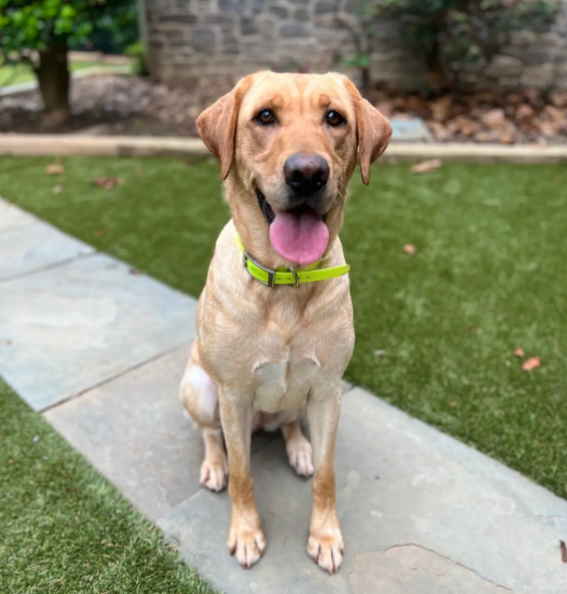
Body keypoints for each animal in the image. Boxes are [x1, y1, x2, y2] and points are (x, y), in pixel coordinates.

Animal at [180, 71, 391, 574]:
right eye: (264, 116)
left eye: (334, 117)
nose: (308, 173)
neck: (287, 282)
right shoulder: (233, 394)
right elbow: (243, 473)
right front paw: (246, 533)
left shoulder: (329, 390)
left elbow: (329, 474)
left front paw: (325, 536)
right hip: (199, 390)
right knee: (210, 435)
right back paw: (214, 464)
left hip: (301, 399)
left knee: (291, 422)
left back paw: (299, 449)